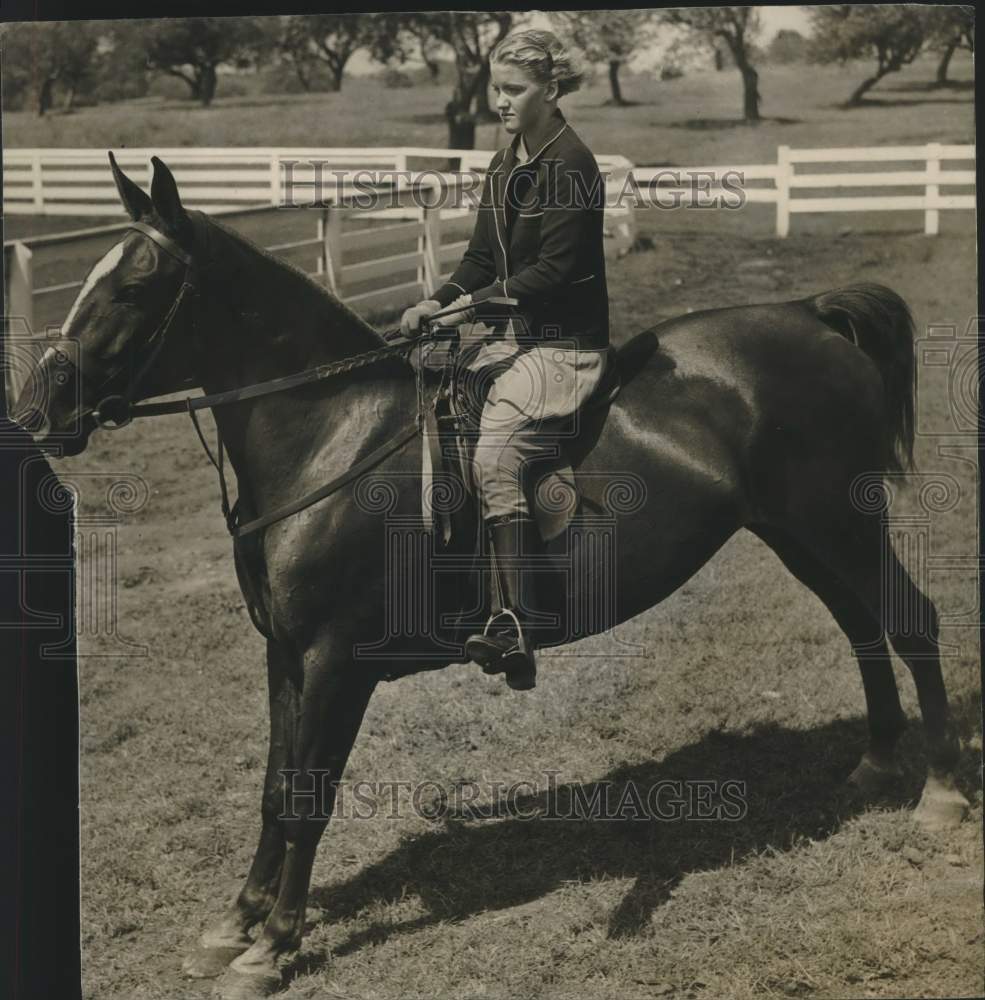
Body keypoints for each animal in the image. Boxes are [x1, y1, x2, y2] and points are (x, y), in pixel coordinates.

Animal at [23, 152, 968, 996]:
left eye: (134, 286)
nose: (39, 411)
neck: (334, 436)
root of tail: (810, 314)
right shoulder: (284, 655)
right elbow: (272, 787)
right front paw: (236, 923)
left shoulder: (334, 663)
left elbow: (307, 797)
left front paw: (274, 946)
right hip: (797, 533)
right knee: (860, 626)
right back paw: (876, 762)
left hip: (839, 522)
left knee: (909, 624)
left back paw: (941, 791)